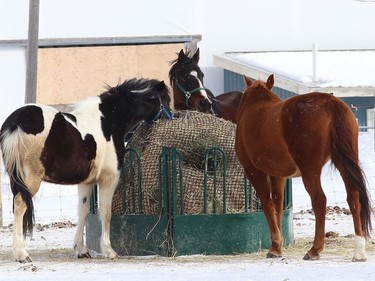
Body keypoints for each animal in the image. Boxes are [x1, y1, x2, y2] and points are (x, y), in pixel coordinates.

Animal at [0, 77, 173, 262]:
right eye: (166, 99)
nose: (172, 116)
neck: (109, 120)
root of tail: (17, 121)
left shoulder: (86, 182)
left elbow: (82, 212)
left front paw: (80, 250)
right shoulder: (109, 179)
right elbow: (106, 212)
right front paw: (108, 250)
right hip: (31, 178)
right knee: (20, 205)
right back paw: (21, 254)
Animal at [236, 74, 374, 260]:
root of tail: (330, 102)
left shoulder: (253, 171)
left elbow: (267, 204)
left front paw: (275, 245)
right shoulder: (278, 174)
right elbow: (278, 203)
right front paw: (278, 247)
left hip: (310, 170)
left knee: (319, 200)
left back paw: (315, 249)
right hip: (343, 163)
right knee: (353, 196)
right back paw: (359, 251)